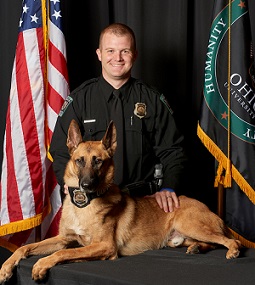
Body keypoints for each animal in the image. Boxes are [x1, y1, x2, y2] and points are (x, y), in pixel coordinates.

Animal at [0, 118, 241, 280]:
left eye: (98, 161)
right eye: (80, 161)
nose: (86, 185)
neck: (84, 206)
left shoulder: (105, 246)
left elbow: (66, 252)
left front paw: (41, 264)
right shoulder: (64, 238)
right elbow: (29, 247)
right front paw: (7, 267)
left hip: (189, 224)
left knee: (230, 240)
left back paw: (232, 250)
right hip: (181, 238)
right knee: (210, 242)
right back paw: (196, 249)